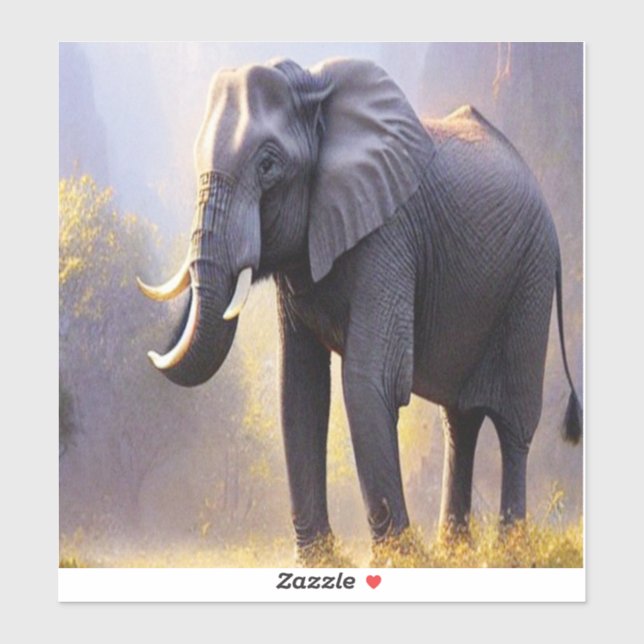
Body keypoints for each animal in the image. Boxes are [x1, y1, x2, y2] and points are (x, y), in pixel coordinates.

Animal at [138, 57, 582, 558]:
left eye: (268, 165)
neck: (316, 93)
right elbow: (300, 388)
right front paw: (319, 561)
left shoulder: (390, 232)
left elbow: (370, 380)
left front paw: (403, 561)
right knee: (460, 421)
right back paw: (456, 553)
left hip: (531, 278)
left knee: (513, 421)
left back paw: (511, 552)